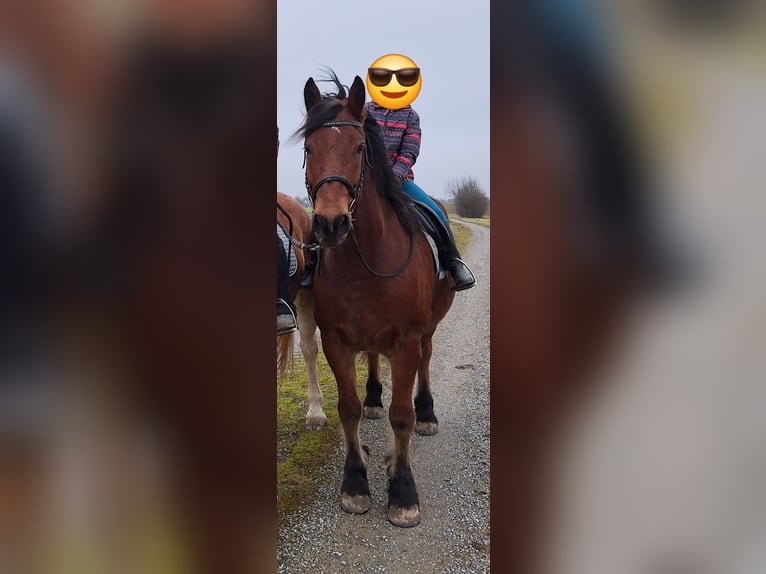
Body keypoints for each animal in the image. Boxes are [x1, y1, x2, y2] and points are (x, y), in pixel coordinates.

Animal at [296, 73, 455, 527]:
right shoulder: (335, 339)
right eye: (309, 149)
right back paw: (372, 398)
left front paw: (402, 492)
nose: (330, 224)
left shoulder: (406, 340)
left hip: (429, 327)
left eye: (359, 148)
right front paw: (355, 483)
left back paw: (427, 413)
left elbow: (401, 416)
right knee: (370, 360)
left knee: (426, 360)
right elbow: (347, 409)